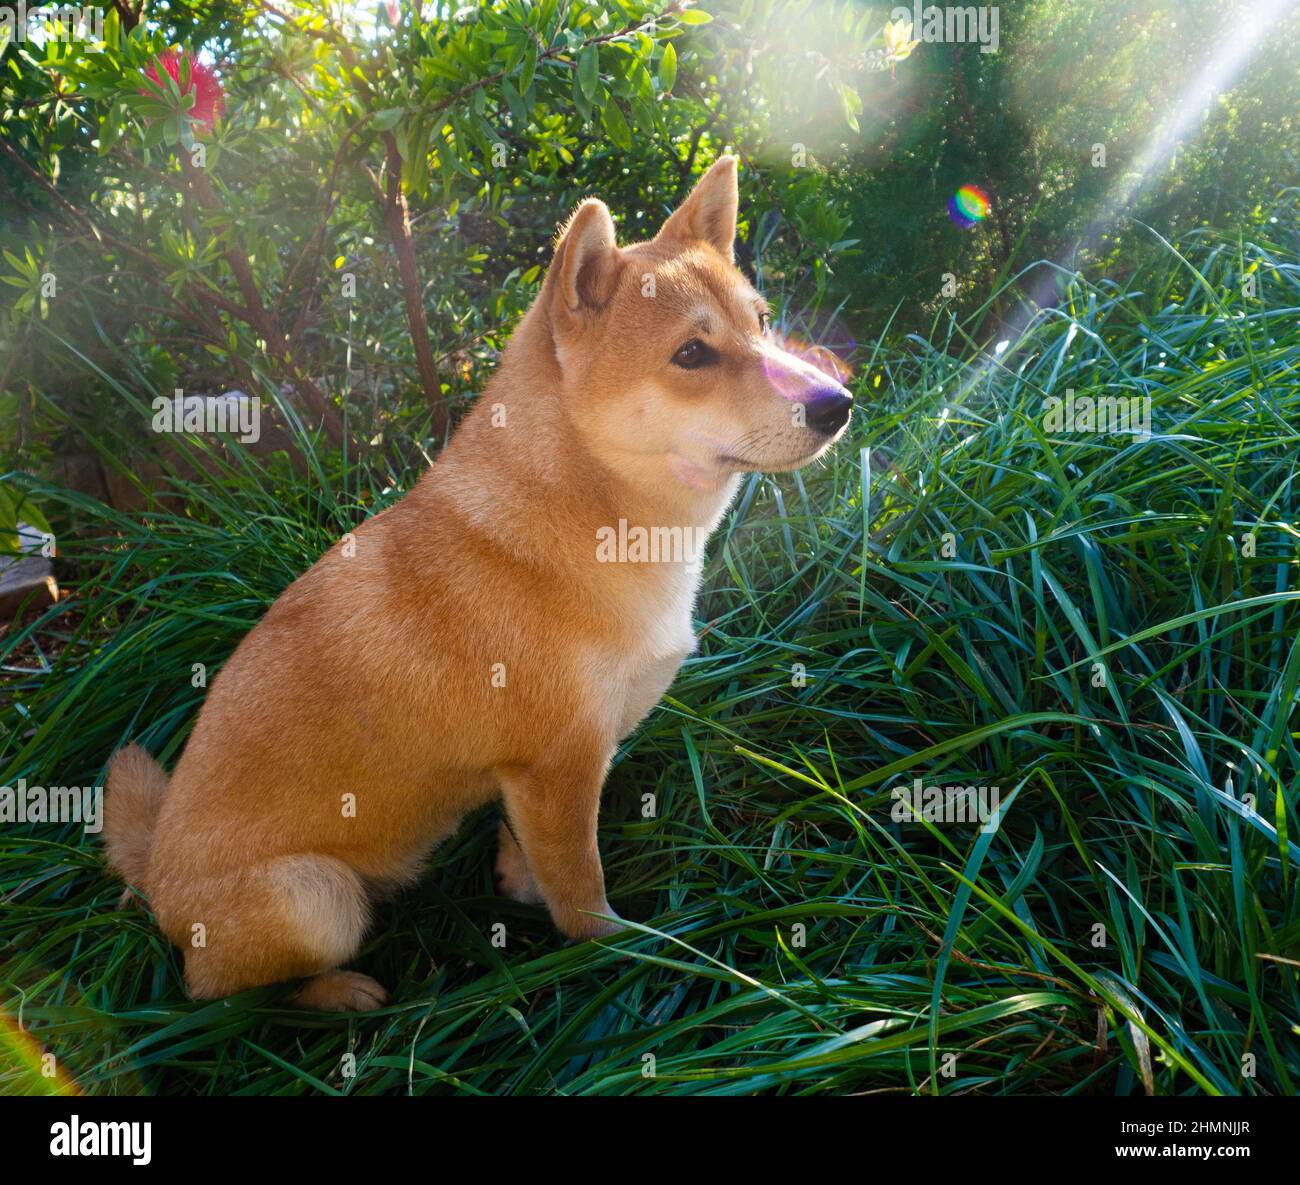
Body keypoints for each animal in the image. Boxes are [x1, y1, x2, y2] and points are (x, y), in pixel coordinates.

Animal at [102, 156, 853, 1011]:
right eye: (692, 354)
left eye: (761, 321)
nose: (838, 402)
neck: (589, 520)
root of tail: (157, 875)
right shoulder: (559, 766)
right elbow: (584, 894)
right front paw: (619, 953)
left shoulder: (549, 775)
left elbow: (537, 855)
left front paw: (518, 883)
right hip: (315, 898)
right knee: (221, 992)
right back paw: (337, 992)